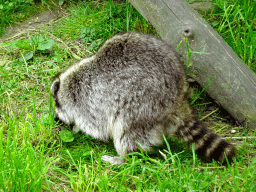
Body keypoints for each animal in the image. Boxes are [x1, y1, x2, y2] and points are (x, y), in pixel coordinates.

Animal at [50, 32, 236, 164]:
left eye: (56, 105)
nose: (55, 119)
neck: (69, 83)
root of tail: (177, 101)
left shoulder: (88, 99)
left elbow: (97, 125)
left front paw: (77, 127)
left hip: (141, 105)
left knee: (127, 132)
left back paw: (123, 158)